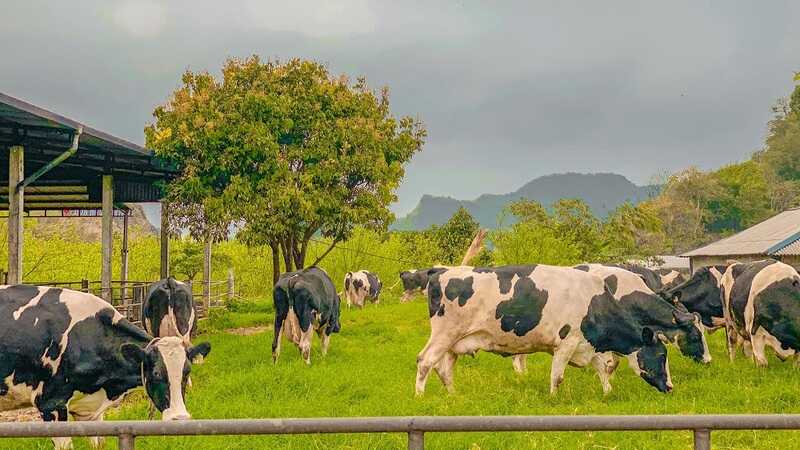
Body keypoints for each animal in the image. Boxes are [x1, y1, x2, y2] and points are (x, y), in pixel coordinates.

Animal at [416, 266, 672, 396]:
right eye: (661, 355)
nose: (670, 387)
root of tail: (440, 272)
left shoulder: (588, 345)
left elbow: (602, 367)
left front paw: (608, 392)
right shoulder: (567, 342)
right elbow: (557, 376)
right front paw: (553, 399)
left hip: (454, 342)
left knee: (444, 368)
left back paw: (453, 396)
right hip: (445, 334)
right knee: (425, 361)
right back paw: (420, 397)